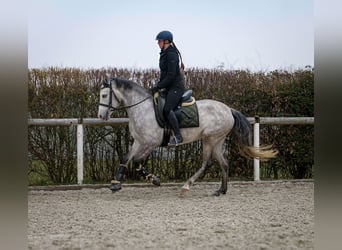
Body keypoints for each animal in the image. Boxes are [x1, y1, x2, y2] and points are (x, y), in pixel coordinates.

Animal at [97, 77, 278, 196]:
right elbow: (126, 158)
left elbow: (136, 161)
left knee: (207, 163)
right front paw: (115, 183)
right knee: (223, 163)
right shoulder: (138, 141)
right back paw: (221, 190)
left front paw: (154, 179)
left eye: (104, 95)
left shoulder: (150, 143)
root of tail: (228, 109)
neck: (142, 109)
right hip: (216, 140)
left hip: (210, 139)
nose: (100, 116)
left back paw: (187, 186)